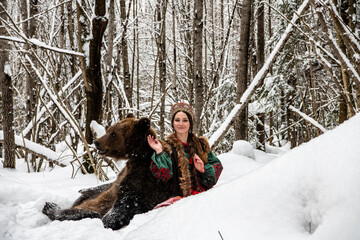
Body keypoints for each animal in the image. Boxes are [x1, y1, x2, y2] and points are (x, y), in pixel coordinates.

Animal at [42, 115, 183, 230]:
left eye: (113, 134)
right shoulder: (122, 175)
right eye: (109, 130)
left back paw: (51, 206)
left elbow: (123, 207)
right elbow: (108, 185)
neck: (137, 156)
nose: (96, 142)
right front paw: (83, 189)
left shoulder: (145, 181)